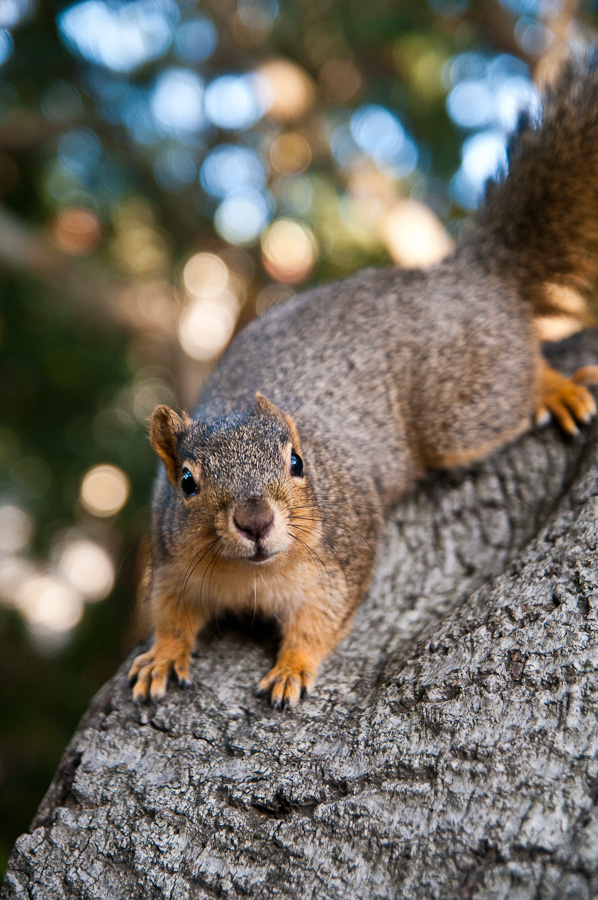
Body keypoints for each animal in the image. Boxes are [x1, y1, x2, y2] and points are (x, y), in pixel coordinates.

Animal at [130, 54, 598, 712]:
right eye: (187, 482)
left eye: (297, 463)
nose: (255, 522)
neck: (251, 576)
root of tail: (466, 275)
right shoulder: (171, 559)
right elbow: (170, 613)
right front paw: (162, 655)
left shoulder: (341, 561)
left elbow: (320, 623)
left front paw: (293, 667)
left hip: (463, 406)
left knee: (519, 377)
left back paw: (558, 390)